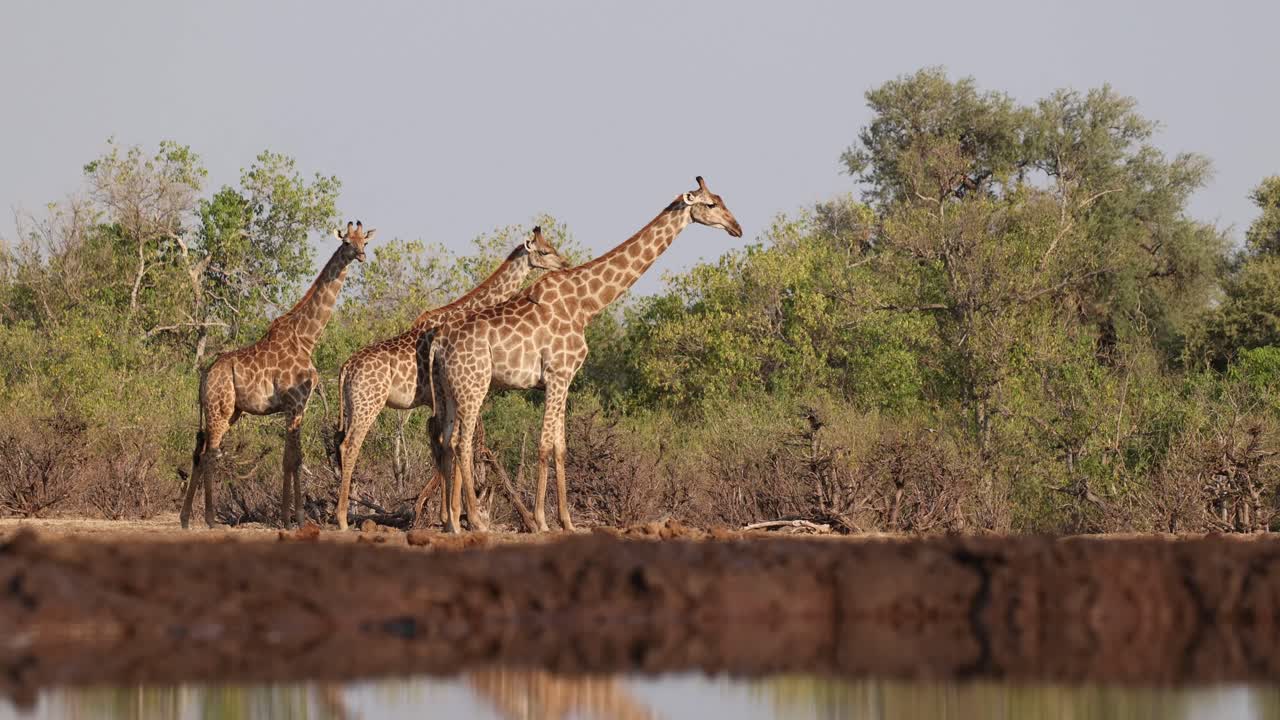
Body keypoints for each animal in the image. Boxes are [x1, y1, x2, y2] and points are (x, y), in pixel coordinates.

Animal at [180, 221, 374, 529]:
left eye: (364, 242)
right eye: (346, 242)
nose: (361, 256)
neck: (307, 337)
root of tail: (204, 376)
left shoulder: (298, 406)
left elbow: (294, 458)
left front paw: (292, 517)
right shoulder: (294, 404)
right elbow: (291, 460)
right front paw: (292, 518)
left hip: (229, 412)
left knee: (199, 452)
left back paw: (185, 518)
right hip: (219, 409)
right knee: (210, 454)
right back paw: (210, 519)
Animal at [332, 226, 568, 530]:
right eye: (545, 250)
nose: (564, 264)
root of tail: (346, 368)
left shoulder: (437, 402)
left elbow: (444, 447)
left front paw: (448, 516)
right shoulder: (445, 398)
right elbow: (452, 446)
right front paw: (456, 516)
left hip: (352, 406)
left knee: (342, 445)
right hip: (367, 405)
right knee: (350, 446)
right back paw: (342, 519)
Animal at [429, 177, 742, 533]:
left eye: (722, 200)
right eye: (711, 204)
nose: (737, 228)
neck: (586, 305)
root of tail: (438, 343)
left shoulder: (565, 380)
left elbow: (561, 447)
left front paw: (567, 521)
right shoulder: (557, 374)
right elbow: (544, 445)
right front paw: (541, 520)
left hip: (449, 389)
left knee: (449, 441)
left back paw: (453, 521)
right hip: (474, 386)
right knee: (463, 443)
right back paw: (476, 521)